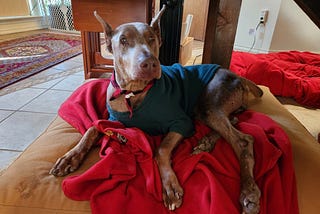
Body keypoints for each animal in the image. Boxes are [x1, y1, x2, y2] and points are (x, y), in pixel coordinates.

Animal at [50, 5, 262, 213]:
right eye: (123, 40)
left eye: (151, 38)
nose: (150, 63)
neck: (133, 94)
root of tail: (237, 76)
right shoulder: (113, 117)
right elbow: (93, 128)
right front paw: (70, 157)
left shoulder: (181, 122)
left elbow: (161, 149)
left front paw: (170, 187)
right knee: (233, 121)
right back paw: (206, 142)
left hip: (208, 103)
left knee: (242, 140)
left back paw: (249, 193)